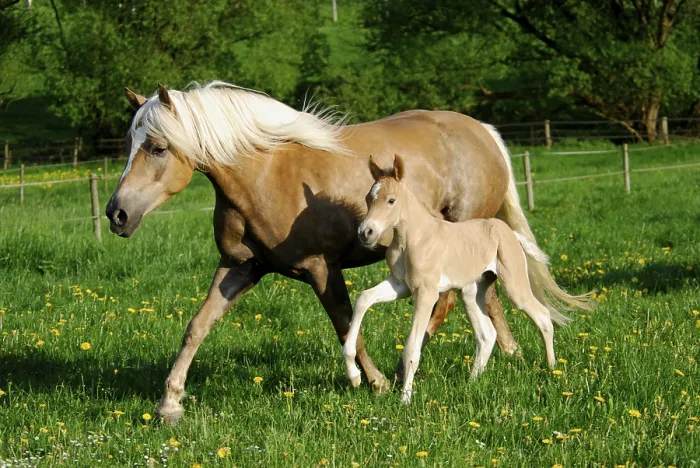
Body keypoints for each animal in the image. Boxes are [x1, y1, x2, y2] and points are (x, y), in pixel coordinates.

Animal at [343, 155, 587, 404]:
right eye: (368, 198)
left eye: (391, 200)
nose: (366, 233)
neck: (411, 238)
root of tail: (510, 233)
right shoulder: (400, 285)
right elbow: (363, 298)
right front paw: (354, 374)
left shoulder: (426, 292)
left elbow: (412, 347)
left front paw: (405, 400)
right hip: (472, 292)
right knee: (487, 334)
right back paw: (472, 383)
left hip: (513, 286)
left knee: (542, 316)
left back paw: (552, 368)